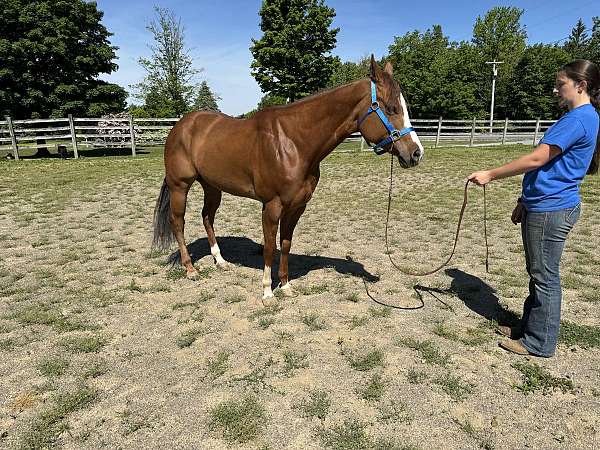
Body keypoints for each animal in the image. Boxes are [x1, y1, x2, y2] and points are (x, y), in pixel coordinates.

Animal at [152, 57, 424, 302]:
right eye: (391, 108)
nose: (415, 153)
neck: (293, 143)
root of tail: (181, 125)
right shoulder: (272, 206)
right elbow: (270, 247)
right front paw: (267, 292)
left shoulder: (296, 207)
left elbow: (286, 243)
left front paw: (284, 285)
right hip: (180, 186)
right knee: (178, 222)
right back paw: (190, 269)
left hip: (212, 186)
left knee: (207, 217)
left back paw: (220, 261)